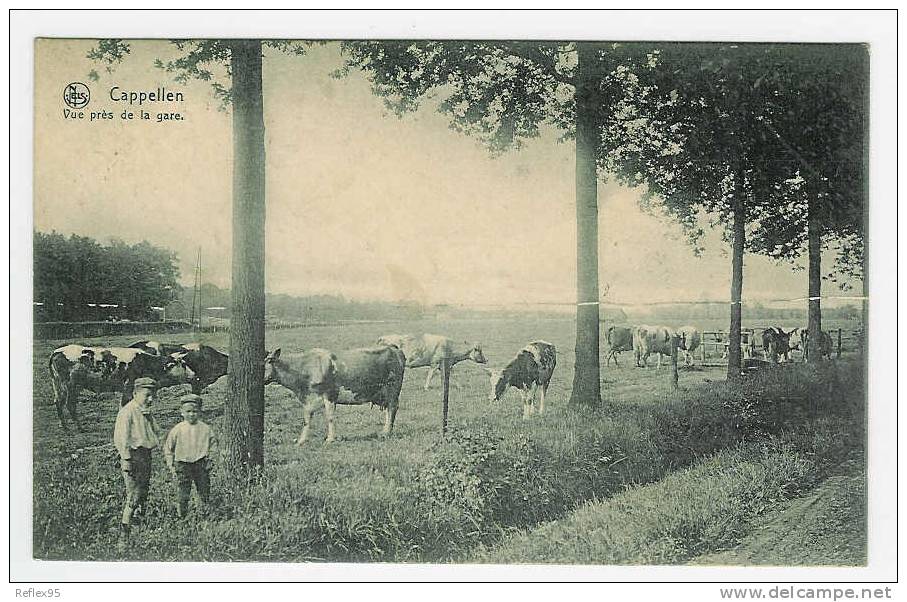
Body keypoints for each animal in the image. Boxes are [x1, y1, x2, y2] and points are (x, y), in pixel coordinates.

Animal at [48, 342, 192, 432]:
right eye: (183, 364)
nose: (194, 374)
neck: (145, 362)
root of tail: (57, 351)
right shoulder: (128, 387)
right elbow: (123, 406)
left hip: (59, 385)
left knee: (58, 402)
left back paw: (65, 427)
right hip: (70, 385)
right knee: (70, 405)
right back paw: (80, 428)